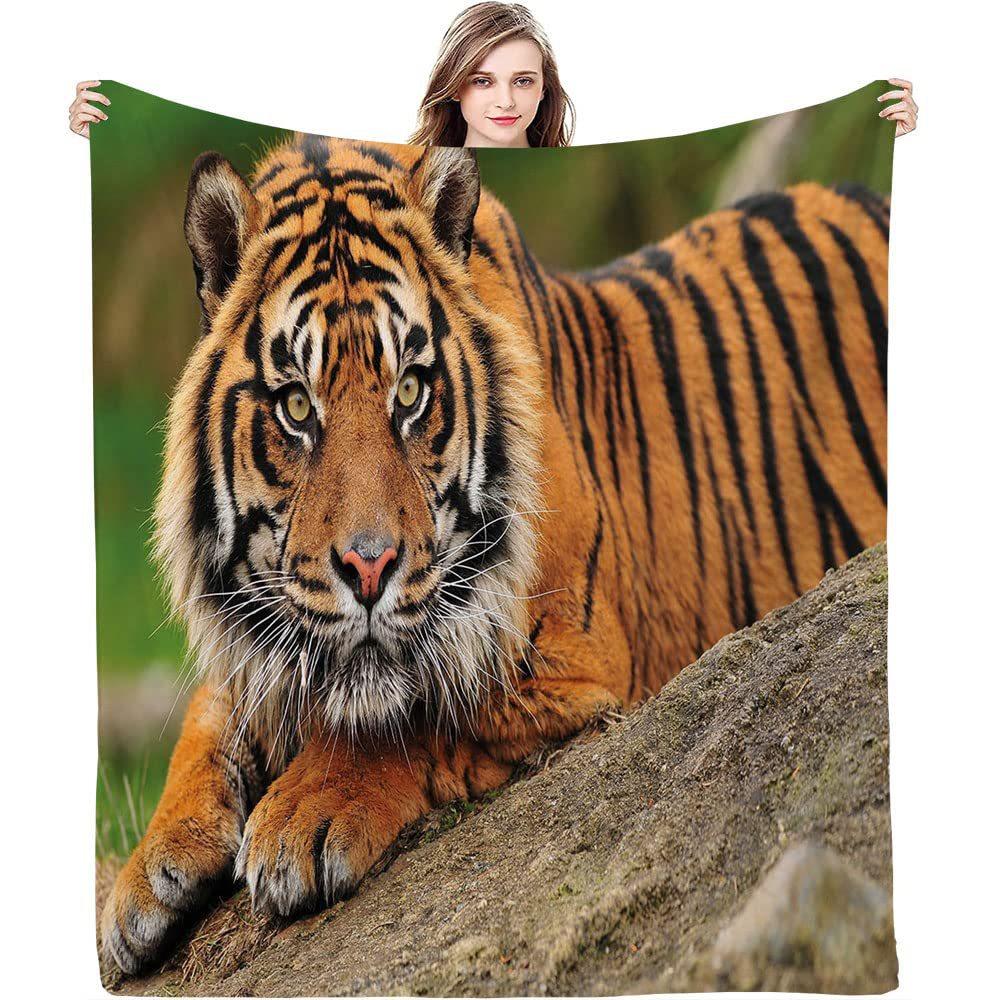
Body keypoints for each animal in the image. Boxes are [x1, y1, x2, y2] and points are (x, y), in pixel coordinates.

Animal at [101, 133, 888, 974]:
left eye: (410, 392)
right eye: (296, 406)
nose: (369, 569)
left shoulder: (570, 664)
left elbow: (415, 715)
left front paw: (300, 818)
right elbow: (208, 717)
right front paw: (147, 875)